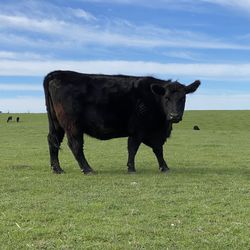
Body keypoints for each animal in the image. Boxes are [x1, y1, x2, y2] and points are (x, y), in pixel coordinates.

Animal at [44, 70, 200, 174]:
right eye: (166, 98)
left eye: (183, 98)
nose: (174, 116)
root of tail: (58, 74)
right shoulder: (138, 129)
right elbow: (133, 148)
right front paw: (131, 168)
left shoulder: (154, 133)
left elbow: (158, 149)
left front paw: (164, 167)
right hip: (73, 125)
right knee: (75, 145)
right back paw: (87, 169)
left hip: (57, 124)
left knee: (53, 141)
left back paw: (57, 169)